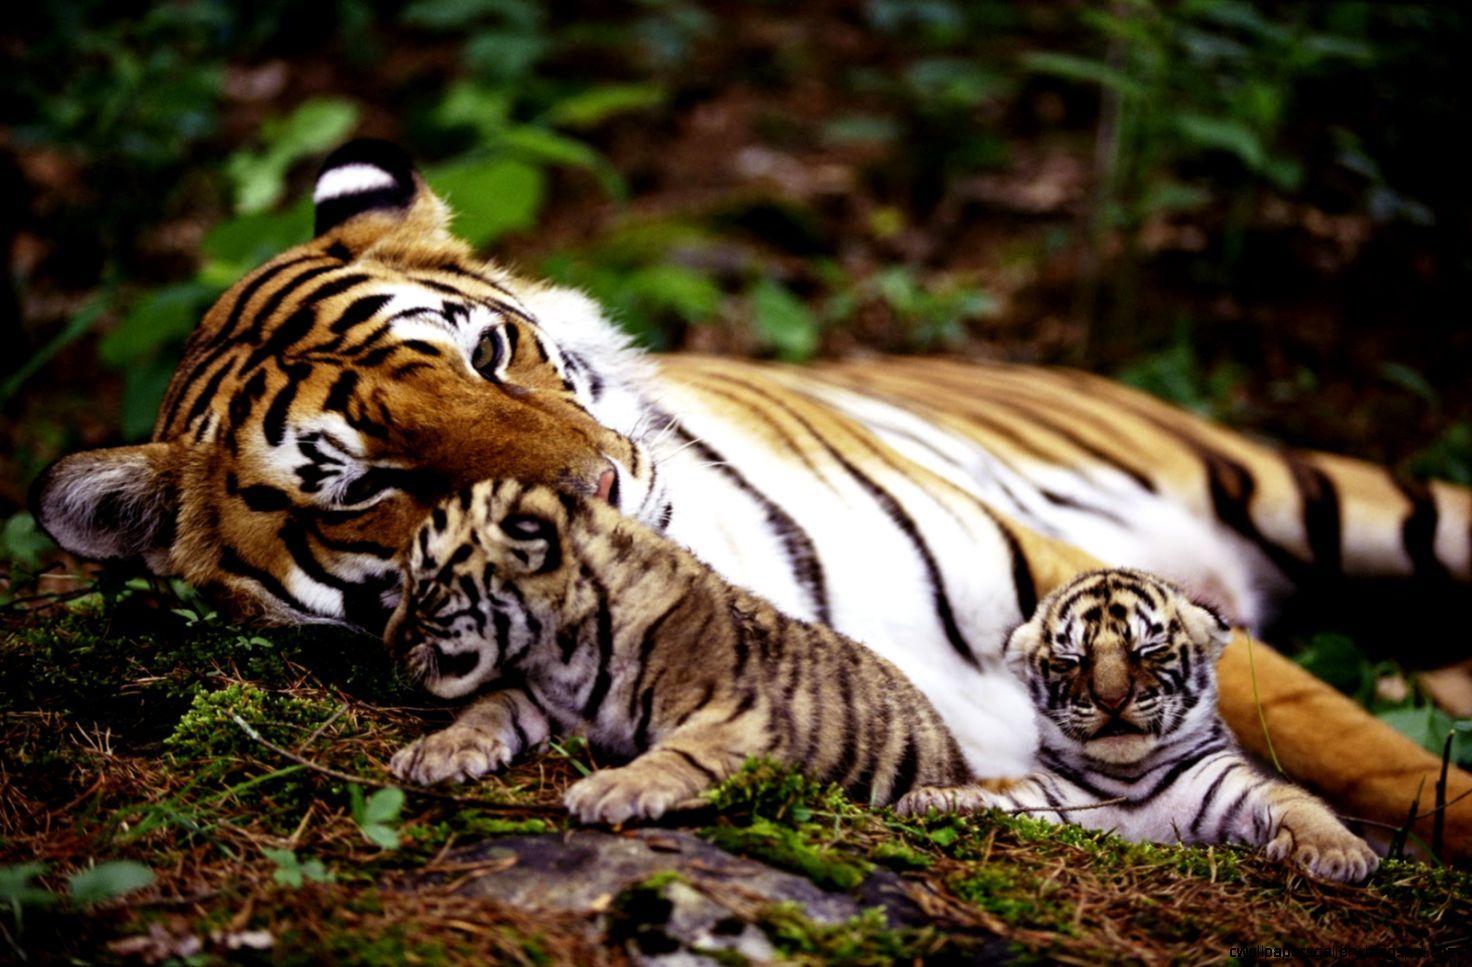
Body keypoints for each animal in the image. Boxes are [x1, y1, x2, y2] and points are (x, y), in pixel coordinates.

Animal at [385, 478, 975, 822]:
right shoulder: (540, 698)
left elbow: (679, 755)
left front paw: (609, 790)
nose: (389, 643)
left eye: (425, 588)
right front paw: (438, 751)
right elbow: (489, 708)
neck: (560, 650)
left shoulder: (741, 720)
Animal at [897, 569, 1380, 882]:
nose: (1112, 700)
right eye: (1072, 660)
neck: (1129, 779)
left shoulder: (1237, 790)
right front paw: (937, 799)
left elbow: (1297, 801)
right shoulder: (1047, 804)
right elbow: (1000, 800)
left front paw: (1337, 853)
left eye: (1147, 650)